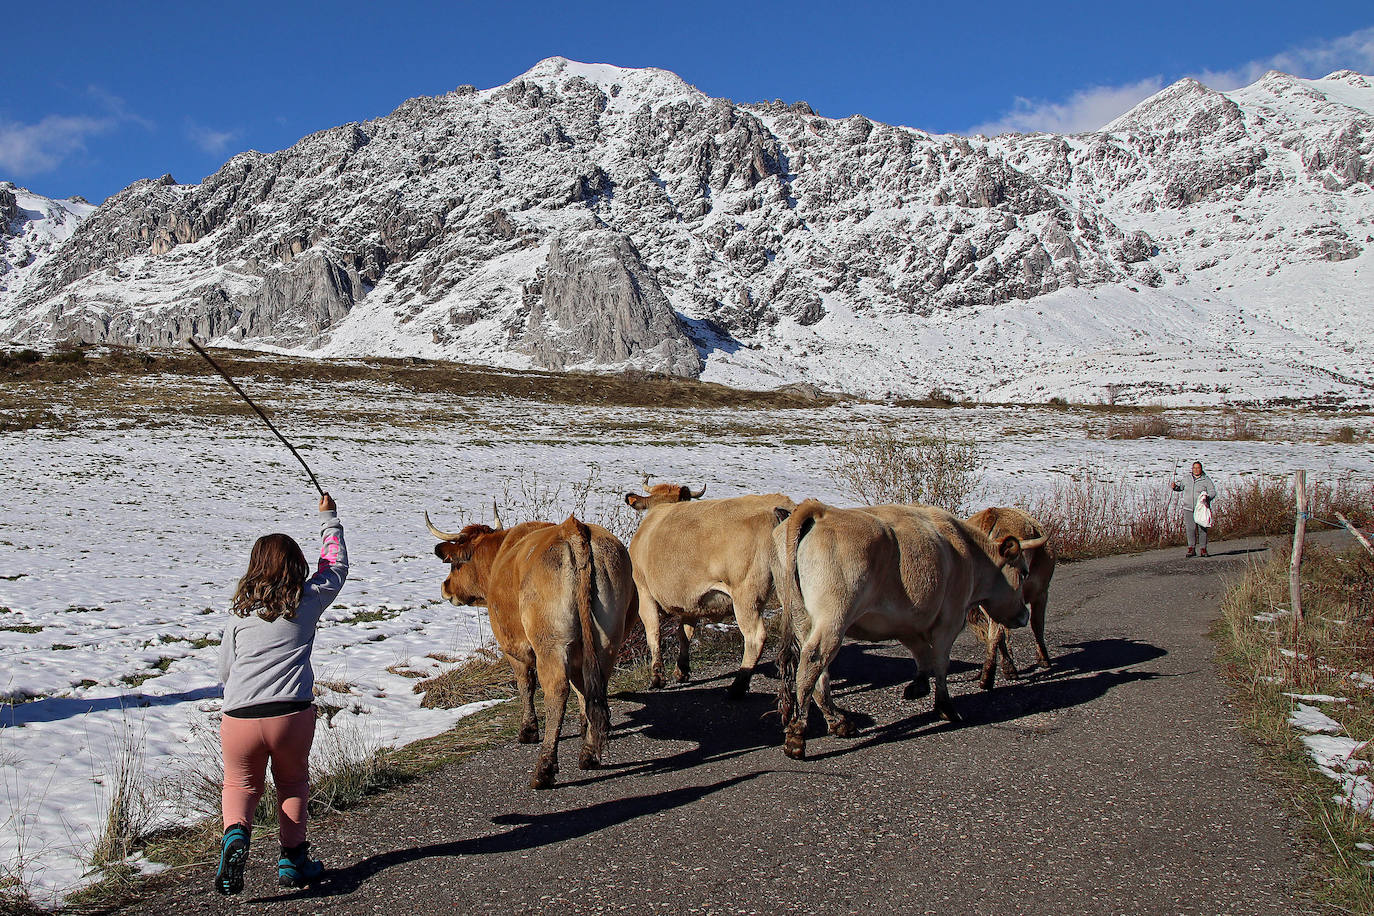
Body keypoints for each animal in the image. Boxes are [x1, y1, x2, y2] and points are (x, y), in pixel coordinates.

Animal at [425, 513, 634, 791]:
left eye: (455, 566)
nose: (445, 587)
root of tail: (573, 529)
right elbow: (581, 690)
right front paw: (583, 725)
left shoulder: (513, 648)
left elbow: (525, 685)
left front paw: (528, 730)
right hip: (607, 640)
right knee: (594, 686)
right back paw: (589, 753)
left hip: (550, 644)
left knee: (556, 692)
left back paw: (544, 769)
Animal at [623, 480, 796, 694]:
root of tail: (776, 506)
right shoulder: (690, 599)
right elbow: (685, 634)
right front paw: (681, 670)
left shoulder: (644, 592)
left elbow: (654, 633)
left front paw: (657, 677)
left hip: (746, 594)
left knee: (755, 637)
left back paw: (738, 686)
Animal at [774, 502, 1033, 758]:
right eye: (1023, 572)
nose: (1024, 615)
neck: (969, 553)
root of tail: (820, 510)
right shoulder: (950, 618)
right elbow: (941, 662)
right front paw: (945, 707)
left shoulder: (905, 622)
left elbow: (921, 652)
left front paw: (919, 685)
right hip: (833, 619)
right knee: (813, 662)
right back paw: (797, 736)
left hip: (803, 619)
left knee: (819, 671)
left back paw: (839, 722)